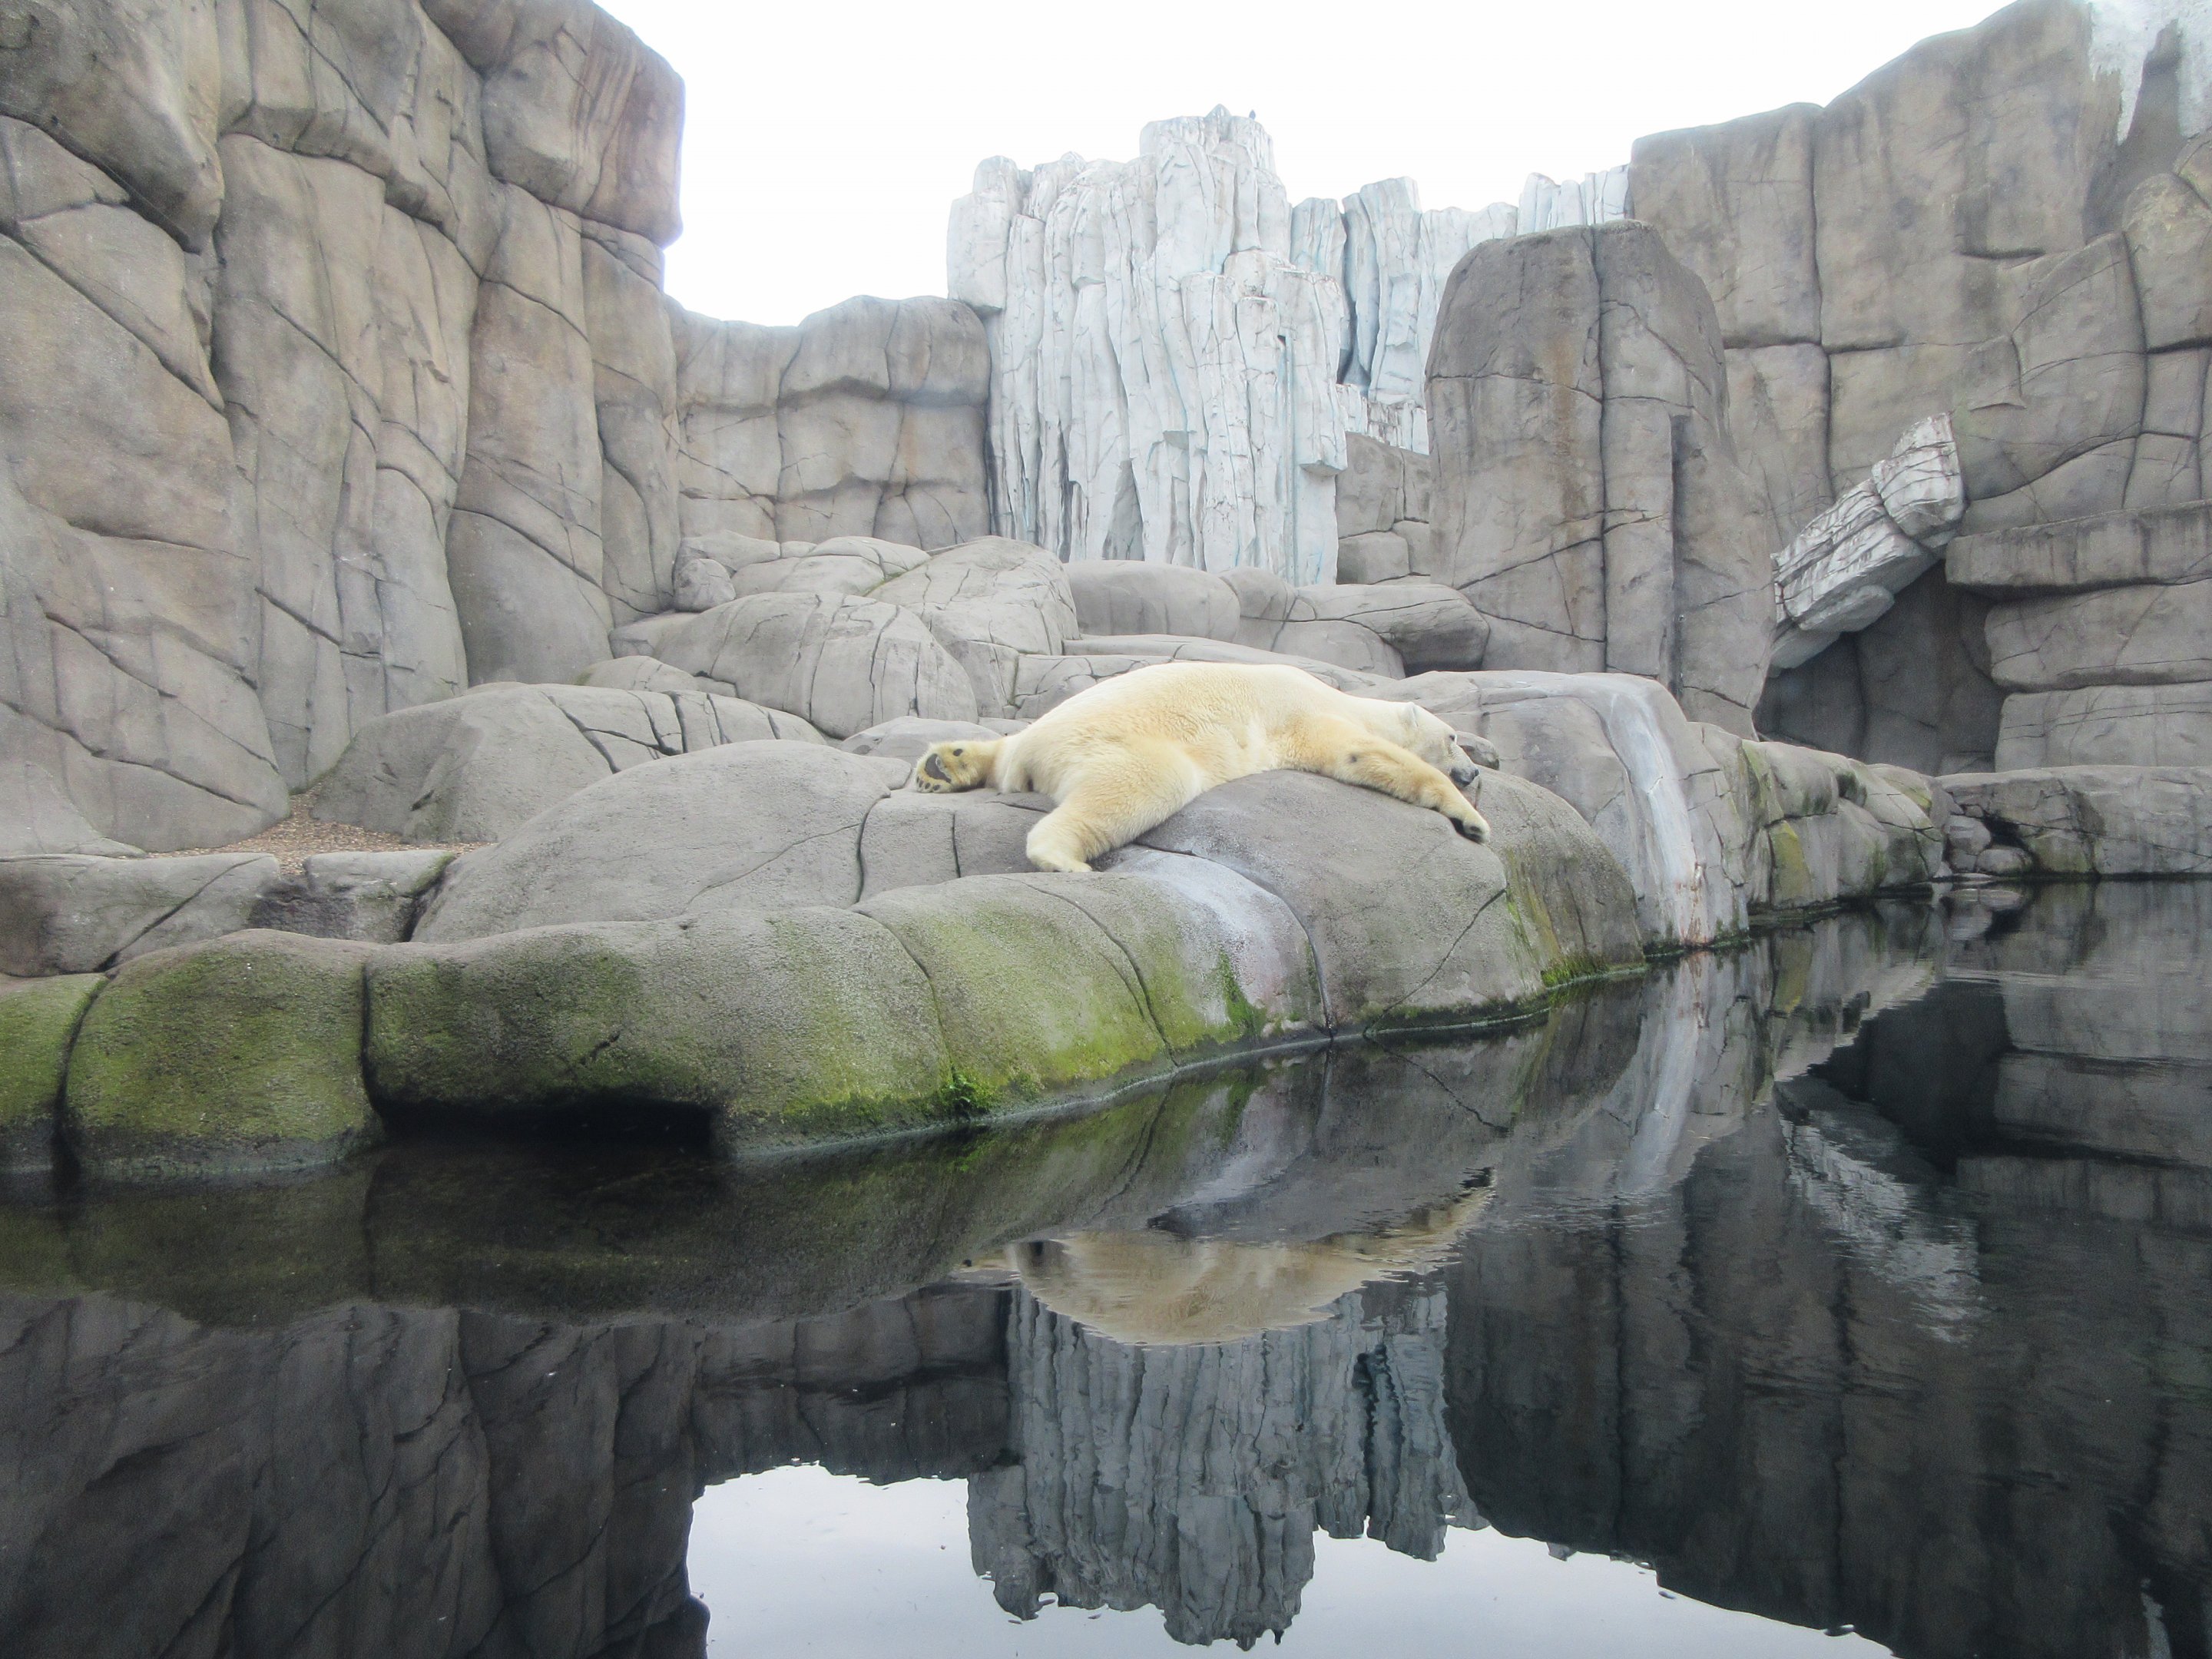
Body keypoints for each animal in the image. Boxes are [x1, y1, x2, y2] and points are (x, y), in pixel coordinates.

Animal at [910, 661, 1489, 873]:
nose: (1474, 772)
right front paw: (1472, 819)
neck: (1346, 698)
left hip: (1037, 737)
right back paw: (1065, 860)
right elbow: (1361, 755)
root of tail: (1036, 750)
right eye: (1454, 737)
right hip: (1118, 743)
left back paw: (944, 765)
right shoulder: (1305, 715)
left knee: (1002, 752)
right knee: (1143, 785)